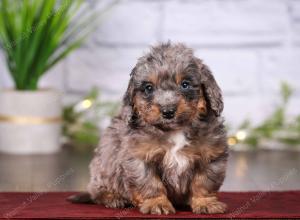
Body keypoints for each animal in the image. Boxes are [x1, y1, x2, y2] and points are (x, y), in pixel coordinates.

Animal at [68, 42, 227, 214]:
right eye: (149, 88)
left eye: (185, 84)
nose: (168, 111)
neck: (174, 131)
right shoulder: (140, 158)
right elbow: (150, 184)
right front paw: (157, 203)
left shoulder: (211, 156)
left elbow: (203, 182)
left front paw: (205, 202)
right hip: (103, 166)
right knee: (97, 190)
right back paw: (112, 197)